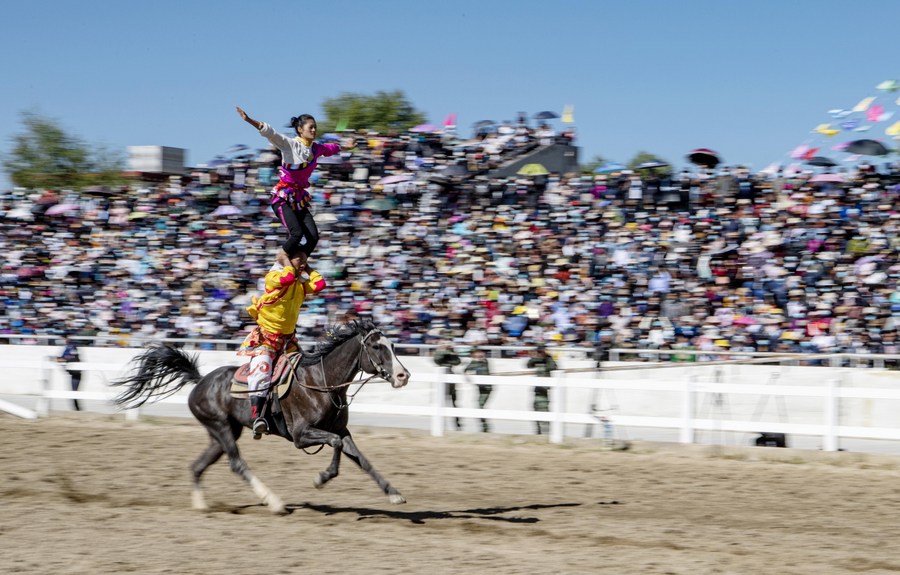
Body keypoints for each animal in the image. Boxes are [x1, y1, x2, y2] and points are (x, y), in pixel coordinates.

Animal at [113, 319, 411, 514]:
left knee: (198, 466)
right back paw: (275, 502)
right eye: (376, 347)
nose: (402, 375)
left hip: (221, 434)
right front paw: (321, 478)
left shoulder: (342, 431)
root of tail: (200, 381)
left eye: (393, 345)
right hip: (221, 428)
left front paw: (394, 494)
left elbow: (362, 459)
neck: (320, 381)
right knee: (237, 464)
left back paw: (201, 505)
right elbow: (335, 446)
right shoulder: (301, 436)